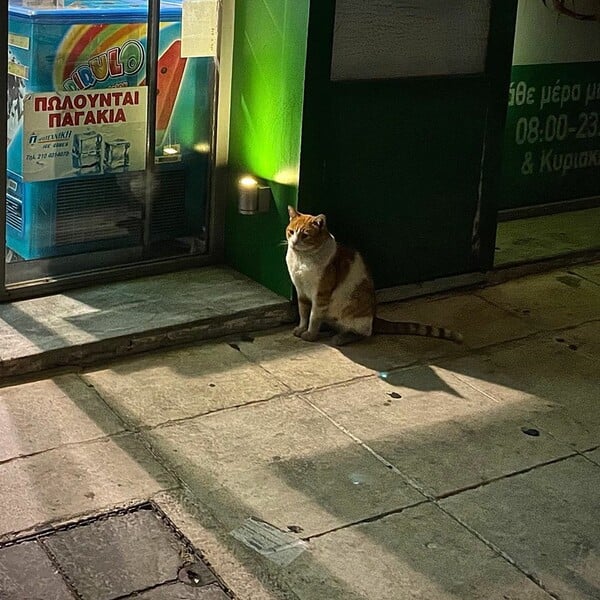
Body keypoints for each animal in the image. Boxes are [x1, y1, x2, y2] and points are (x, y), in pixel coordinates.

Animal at [284, 206, 462, 346]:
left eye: (305, 235)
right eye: (291, 232)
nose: (293, 242)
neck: (302, 259)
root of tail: (374, 317)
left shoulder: (320, 295)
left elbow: (314, 317)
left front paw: (310, 335)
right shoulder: (301, 291)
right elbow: (303, 313)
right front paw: (301, 328)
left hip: (353, 316)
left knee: (364, 333)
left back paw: (340, 338)